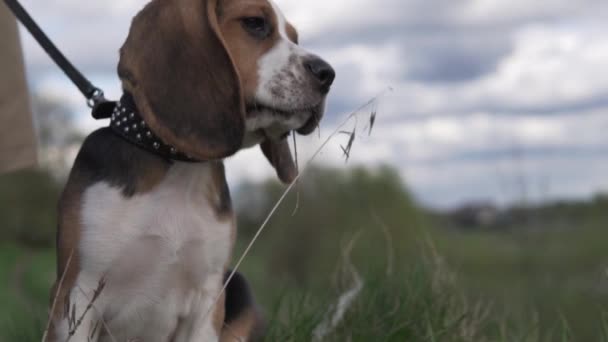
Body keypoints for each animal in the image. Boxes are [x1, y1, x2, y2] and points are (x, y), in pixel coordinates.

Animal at [45, 0, 334, 340]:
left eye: (294, 37)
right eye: (254, 23)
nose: (328, 73)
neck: (179, 168)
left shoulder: (208, 297)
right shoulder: (78, 293)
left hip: (238, 288)